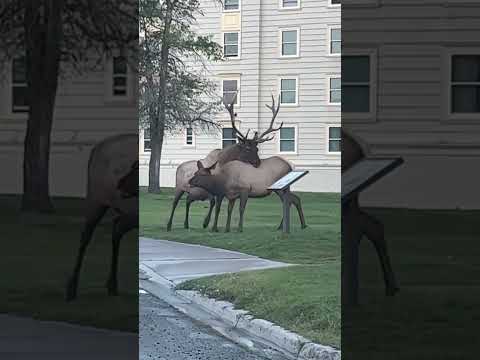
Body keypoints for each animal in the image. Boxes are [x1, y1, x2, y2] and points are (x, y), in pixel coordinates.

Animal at [65, 134, 139, 300]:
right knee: (86, 235)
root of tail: (95, 148)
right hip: (96, 199)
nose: (119, 184)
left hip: (128, 212)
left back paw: (112, 285)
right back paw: (71, 287)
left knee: (117, 227)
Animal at [165, 93, 264, 231]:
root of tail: (179, 167)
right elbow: (214, 204)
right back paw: (169, 225)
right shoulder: (212, 191)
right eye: (248, 148)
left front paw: (207, 223)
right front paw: (207, 223)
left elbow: (217, 204)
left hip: (193, 192)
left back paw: (186, 224)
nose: (258, 162)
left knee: (188, 201)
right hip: (179, 187)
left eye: (257, 148)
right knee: (175, 203)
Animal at [188, 97, 308, 233]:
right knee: (293, 200)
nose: (258, 163)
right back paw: (291, 225)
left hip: (281, 188)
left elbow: (227, 208)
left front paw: (214, 226)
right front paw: (215, 226)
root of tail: (290, 166)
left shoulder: (234, 191)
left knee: (290, 201)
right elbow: (221, 208)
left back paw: (293, 225)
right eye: (247, 149)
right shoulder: (224, 193)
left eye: (257, 149)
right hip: (281, 189)